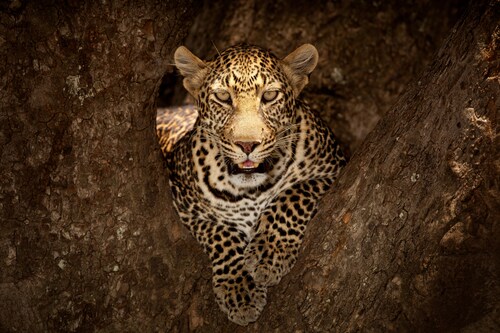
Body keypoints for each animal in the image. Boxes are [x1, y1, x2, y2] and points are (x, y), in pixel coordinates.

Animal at [158, 43, 346, 324]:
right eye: (223, 97)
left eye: (269, 96)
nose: (247, 145)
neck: (251, 190)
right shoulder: (184, 205)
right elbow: (221, 234)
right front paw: (240, 289)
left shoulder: (333, 169)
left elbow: (292, 195)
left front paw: (269, 254)